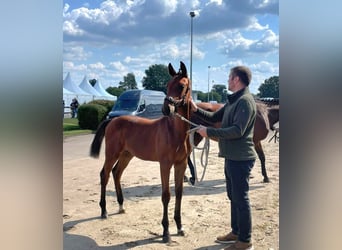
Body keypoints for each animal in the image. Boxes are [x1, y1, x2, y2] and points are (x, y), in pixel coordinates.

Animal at [90, 61, 192, 243]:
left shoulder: (181, 164)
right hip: (112, 153)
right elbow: (166, 195)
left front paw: (180, 227)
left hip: (127, 155)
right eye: (167, 85)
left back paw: (121, 206)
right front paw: (166, 232)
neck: (175, 132)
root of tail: (112, 120)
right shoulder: (165, 164)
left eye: (181, 85)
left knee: (116, 173)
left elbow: (179, 193)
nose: (166, 108)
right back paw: (104, 211)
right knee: (105, 174)